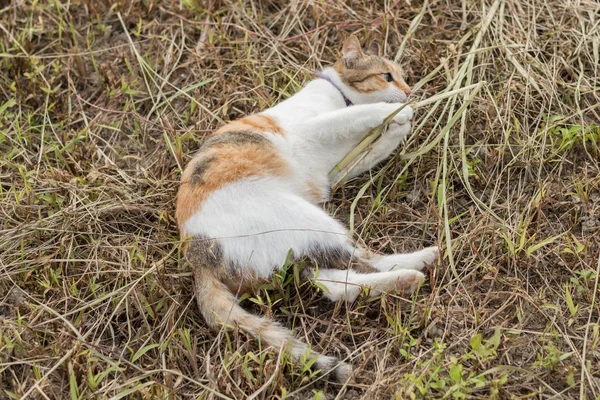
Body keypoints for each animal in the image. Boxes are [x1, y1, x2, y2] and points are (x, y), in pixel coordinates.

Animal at [176, 35, 438, 382]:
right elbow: (359, 114)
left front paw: (399, 125)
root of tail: (197, 256)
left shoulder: (337, 171)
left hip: (292, 243)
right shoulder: (317, 125)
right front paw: (396, 111)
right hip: (304, 219)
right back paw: (417, 264)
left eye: (403, 76)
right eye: (387, 76)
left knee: (333, 282)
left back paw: (407, 276)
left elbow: (378, 145)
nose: (409, 92)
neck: (342, 96)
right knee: (360, 262)